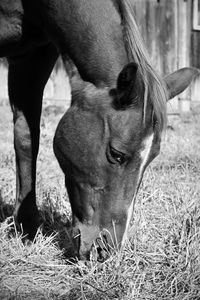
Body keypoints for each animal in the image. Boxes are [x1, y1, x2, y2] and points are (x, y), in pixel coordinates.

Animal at [0, 0, 198, 260]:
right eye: (116, 154)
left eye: (152, 159)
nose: (105, 248)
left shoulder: (33, 57)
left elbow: (26, 139)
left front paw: (26, 227)